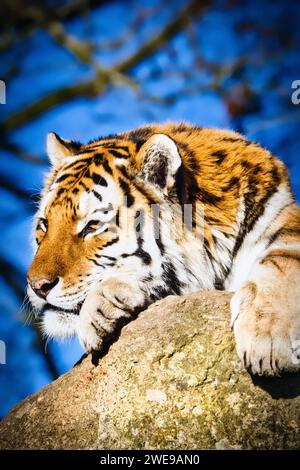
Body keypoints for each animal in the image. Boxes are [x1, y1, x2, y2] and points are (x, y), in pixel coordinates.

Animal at [26, 123, 300, 376]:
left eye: (92, 226)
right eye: (44, 224)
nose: (37, 286)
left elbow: (283, 261)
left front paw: (267, 344)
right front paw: (103, 305)